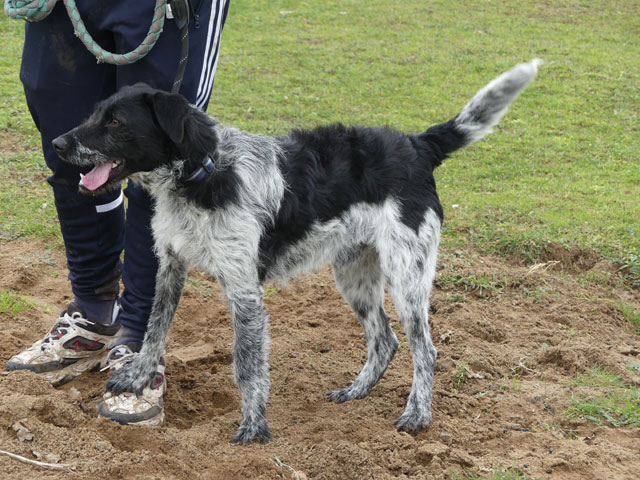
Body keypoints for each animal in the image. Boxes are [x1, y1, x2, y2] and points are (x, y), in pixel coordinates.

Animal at [52, 59, 540, 442]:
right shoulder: (171, 265)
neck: (205, 172)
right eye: (95, 113)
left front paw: (254, 427)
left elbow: (247, 367)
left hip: (407, 277)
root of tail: (418, 146)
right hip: (355, 275)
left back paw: (417, 414)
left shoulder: (245, 292)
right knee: (385, 340)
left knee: (425, 350)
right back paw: (356, 392)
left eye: (116, 122)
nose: (57, 144)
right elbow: (155, 331)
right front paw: (137, 378)